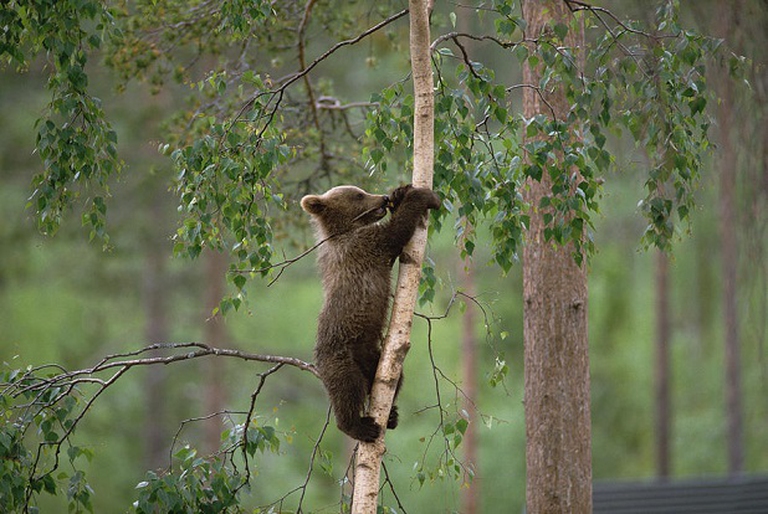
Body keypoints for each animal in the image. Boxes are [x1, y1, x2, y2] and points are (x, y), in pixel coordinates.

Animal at [301, 184, 440, 442]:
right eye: (358, 195)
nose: (383, 198)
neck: (346, 230)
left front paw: (400, 192)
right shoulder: (364, 245)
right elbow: (395, 232)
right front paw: (424, 197)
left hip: (373, 357)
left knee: (396, 377)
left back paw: (392, 415)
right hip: (340, 358)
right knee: (348, 388)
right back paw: (360, 426)